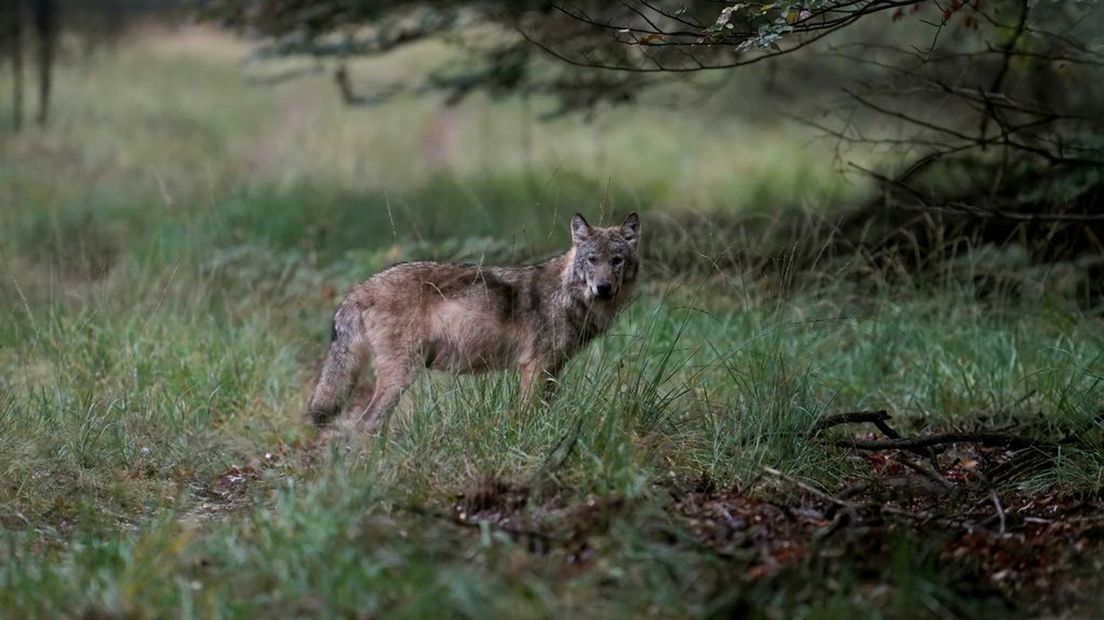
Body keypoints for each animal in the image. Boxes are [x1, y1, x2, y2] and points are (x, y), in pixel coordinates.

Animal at [306, 211, 644, 430]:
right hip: (401, 375)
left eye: (616, 260)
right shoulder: (533, 367)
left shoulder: (552, 369)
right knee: (365, 424)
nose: (603, 288)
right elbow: (528, 416)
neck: (568, 297)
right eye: (592, 260)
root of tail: (358, 289)